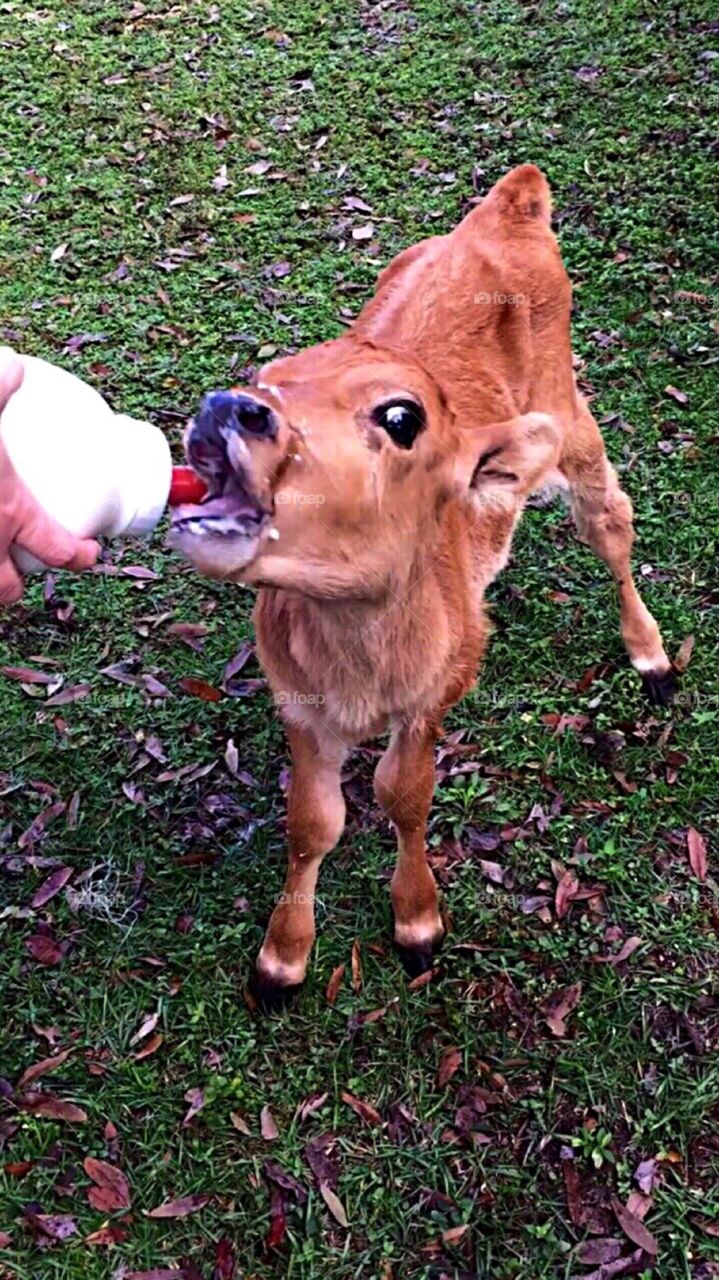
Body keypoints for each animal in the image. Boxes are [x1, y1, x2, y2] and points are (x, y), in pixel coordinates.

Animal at [170, 165, 675, 1003]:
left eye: (400, 417)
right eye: (266, 380)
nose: (227, 409)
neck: (361, 667)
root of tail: (509, 205)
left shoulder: (440, 688)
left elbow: (403, 795)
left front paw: (417, 927)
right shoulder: (297, 701)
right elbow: (312, 819)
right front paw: (280, 963)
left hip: (570, 416)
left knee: (609, 520)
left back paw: (652, 657)